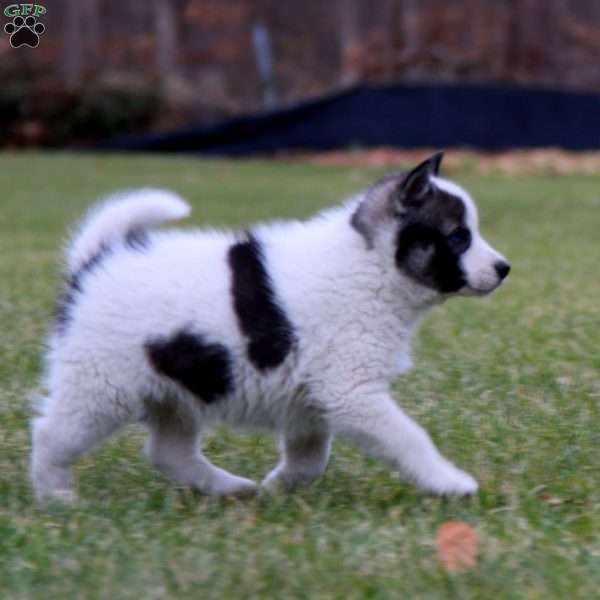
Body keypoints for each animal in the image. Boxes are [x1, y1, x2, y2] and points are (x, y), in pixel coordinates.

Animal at [31, 154, 510, 502]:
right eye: (458, 237)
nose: (504, 268)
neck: (372, 262)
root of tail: (94, 263)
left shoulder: (310, 400)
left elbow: (310, 459)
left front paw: (278, 487)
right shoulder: (352, 392)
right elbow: (410, 438)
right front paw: (449, 481)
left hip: (178, 387)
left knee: (169, 452)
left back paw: (230, 487)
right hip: (101, 387)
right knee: (53, 435)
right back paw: (56, 497)